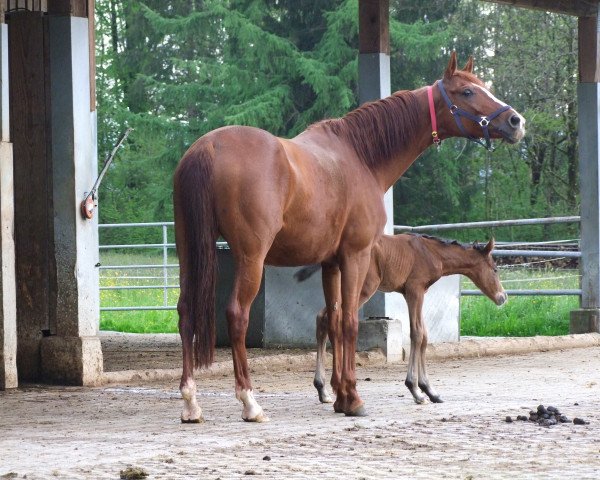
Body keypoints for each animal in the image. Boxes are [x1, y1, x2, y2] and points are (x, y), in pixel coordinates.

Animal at [171, 51, 524, 420]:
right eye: (467, 92)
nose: (516, 121)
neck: (361, 157)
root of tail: (207, 147)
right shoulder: (356, 255)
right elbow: (351, 322)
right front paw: (353, 398)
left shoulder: (331, 263)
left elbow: (335, 319)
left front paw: (339, 393)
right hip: (250, 258)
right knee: (237, 315)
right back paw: (250, 402)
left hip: (188, 251)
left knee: (185, 313)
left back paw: (191, 402)